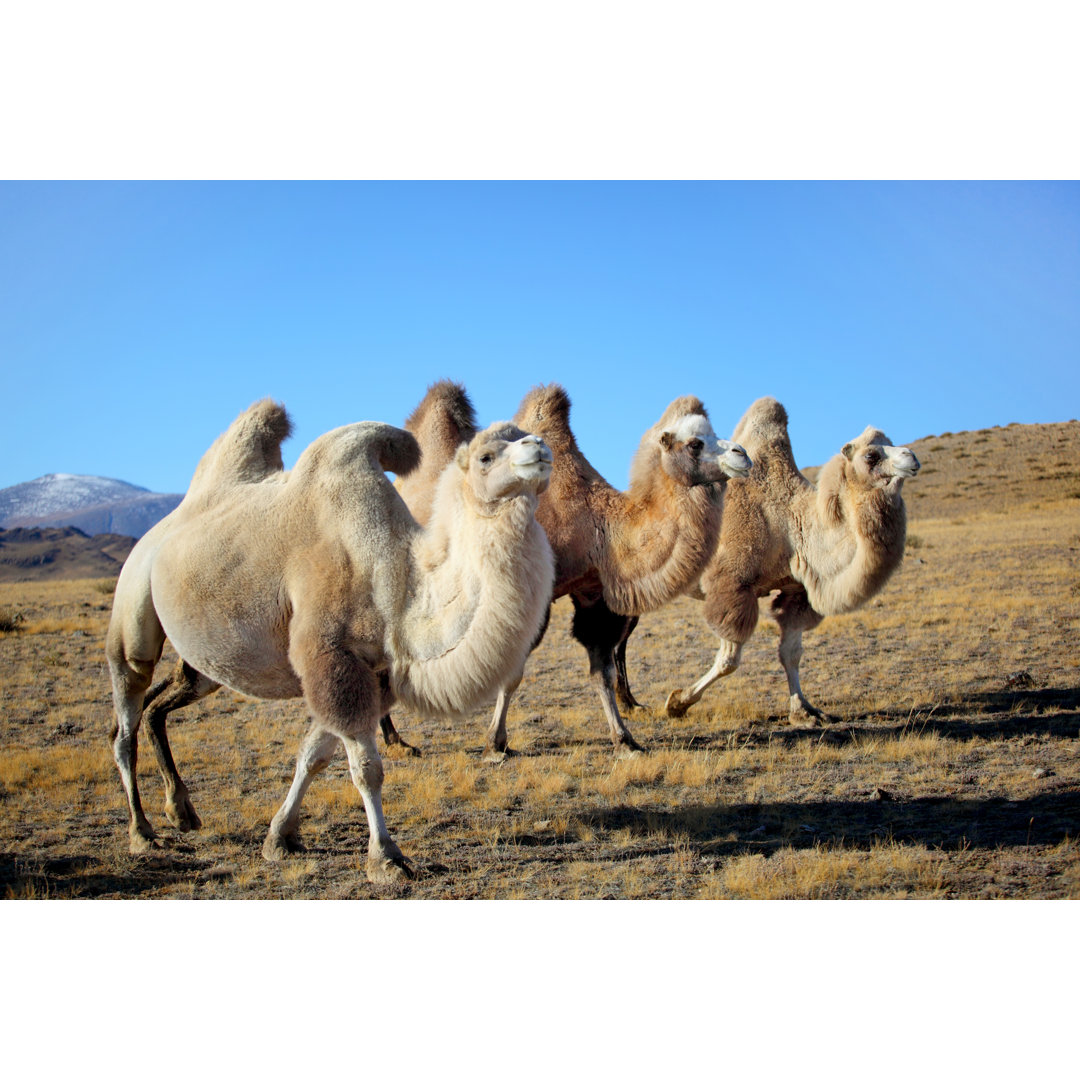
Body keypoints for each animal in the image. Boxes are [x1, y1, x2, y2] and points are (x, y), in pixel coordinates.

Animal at [105, 401, 552, 881]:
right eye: (486, 456)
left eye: (523, 435)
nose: (540, 447)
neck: (400, 580)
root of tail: (162, 527)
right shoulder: (330, 657)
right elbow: (366, 768)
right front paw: (386, 857)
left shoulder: (373, 673)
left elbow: (314, 755)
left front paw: (279, 838)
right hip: (132, 603)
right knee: (127, 713)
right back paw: (142, 832)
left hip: (206, 663)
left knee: (157, 705)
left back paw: (181, 812)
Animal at [648, 397, 920, 725]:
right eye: (872, 455)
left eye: (892, 443)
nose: (912, 456)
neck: (791, 524)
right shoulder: (733, 585)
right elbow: (729, 659)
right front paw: (677, 702)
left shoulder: (796, 591)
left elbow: (791, 652)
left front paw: (804, 710)